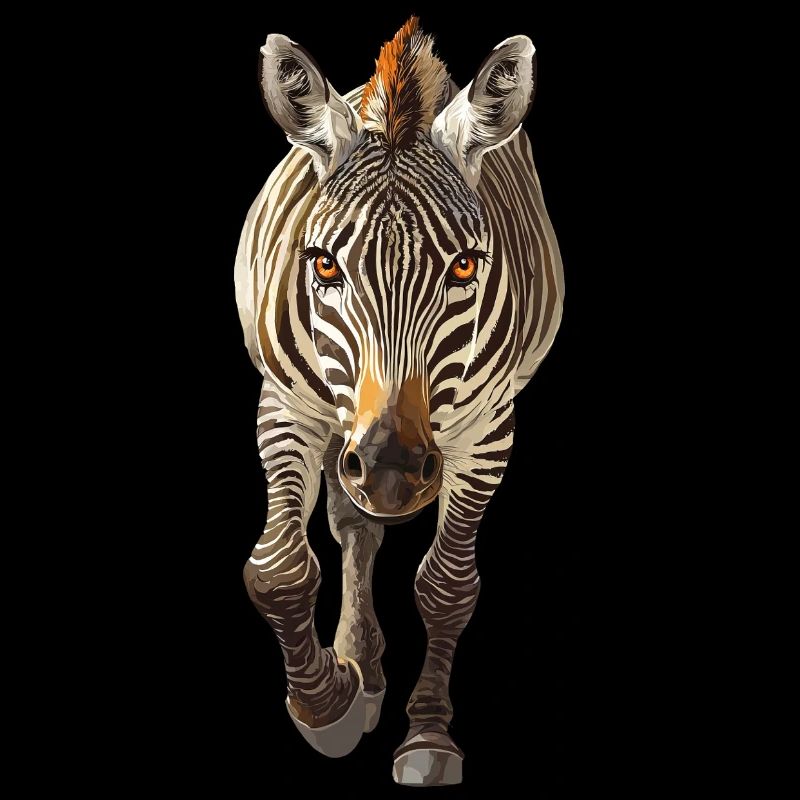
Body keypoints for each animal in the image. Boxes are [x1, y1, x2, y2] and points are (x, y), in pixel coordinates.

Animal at [234, 17, 564, 787]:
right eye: (324, 264)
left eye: (465, 267)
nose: (390, 467)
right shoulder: (287, 406)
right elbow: (277, 569)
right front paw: (326, 705)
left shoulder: (487, 430)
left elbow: (447, 587)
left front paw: (428, 736)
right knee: (353, 525)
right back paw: (359, 671)